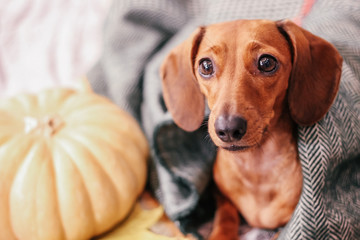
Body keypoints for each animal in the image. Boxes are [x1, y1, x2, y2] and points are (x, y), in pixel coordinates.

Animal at [161, 19, 344, 239]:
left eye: (266, 63)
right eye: (205, 65)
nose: (228, 129)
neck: (255, 169)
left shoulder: (288, 224)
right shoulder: (221, 194)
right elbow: (225, 214)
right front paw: (221, 233)